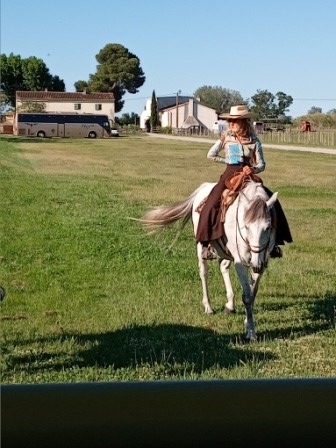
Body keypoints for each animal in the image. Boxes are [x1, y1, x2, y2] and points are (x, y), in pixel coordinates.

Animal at [140, 178, 276, 340]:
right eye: (246, 227)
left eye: (268, 227)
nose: (256, 263)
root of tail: (203, 188)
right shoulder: (241, 262)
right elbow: (247, 296)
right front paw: (251, 332)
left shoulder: (262, 263)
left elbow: (252, 292)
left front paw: (246, 321)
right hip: (201, 247)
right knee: (204, 273)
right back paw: (208, 307)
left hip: (225, 250)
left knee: (223, 267)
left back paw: (230, 305)